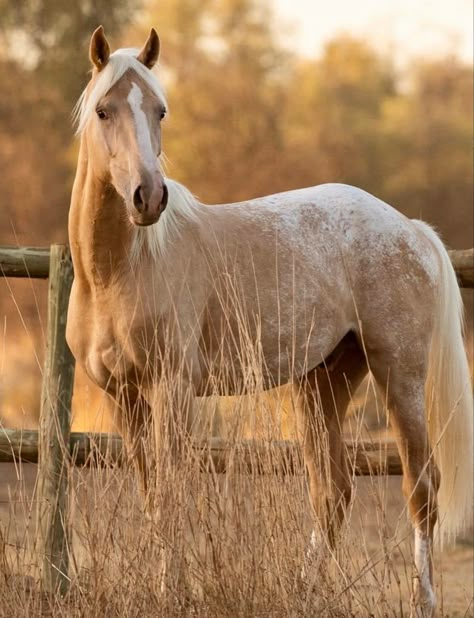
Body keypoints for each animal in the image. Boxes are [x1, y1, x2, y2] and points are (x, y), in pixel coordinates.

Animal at [67, 26, 474, 612]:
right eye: (104, 110)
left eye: (160, 111)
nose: (149, 197)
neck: (120, 270)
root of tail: (410, 228)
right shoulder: (122, 395)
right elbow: (150, 496)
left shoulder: (172, 389)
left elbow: (169, 495)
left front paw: (173, 595)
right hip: (324, 383)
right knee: (333, 491)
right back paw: (307, 594)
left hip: (400, 374)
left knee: (421, 486)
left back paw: (424, 603)